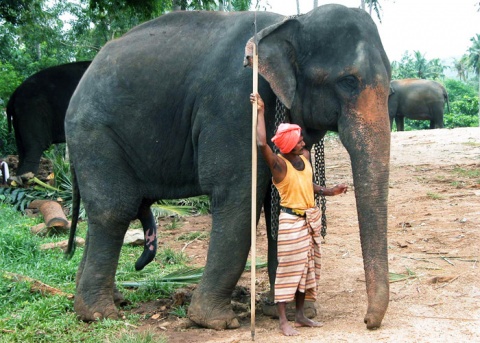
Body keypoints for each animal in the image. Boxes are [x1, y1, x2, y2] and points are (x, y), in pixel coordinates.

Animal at [64, 4, 394, 334]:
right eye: (348, 81)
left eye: (391, 91)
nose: (367, 321)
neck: (289, 23)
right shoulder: (232, 107)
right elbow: (239, 196)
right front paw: (216, 321)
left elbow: (274, 203)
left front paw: (285, 311)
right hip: (95, 134)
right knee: (114, 210)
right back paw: (99, 314)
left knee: (102, 213)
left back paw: (107, 301)